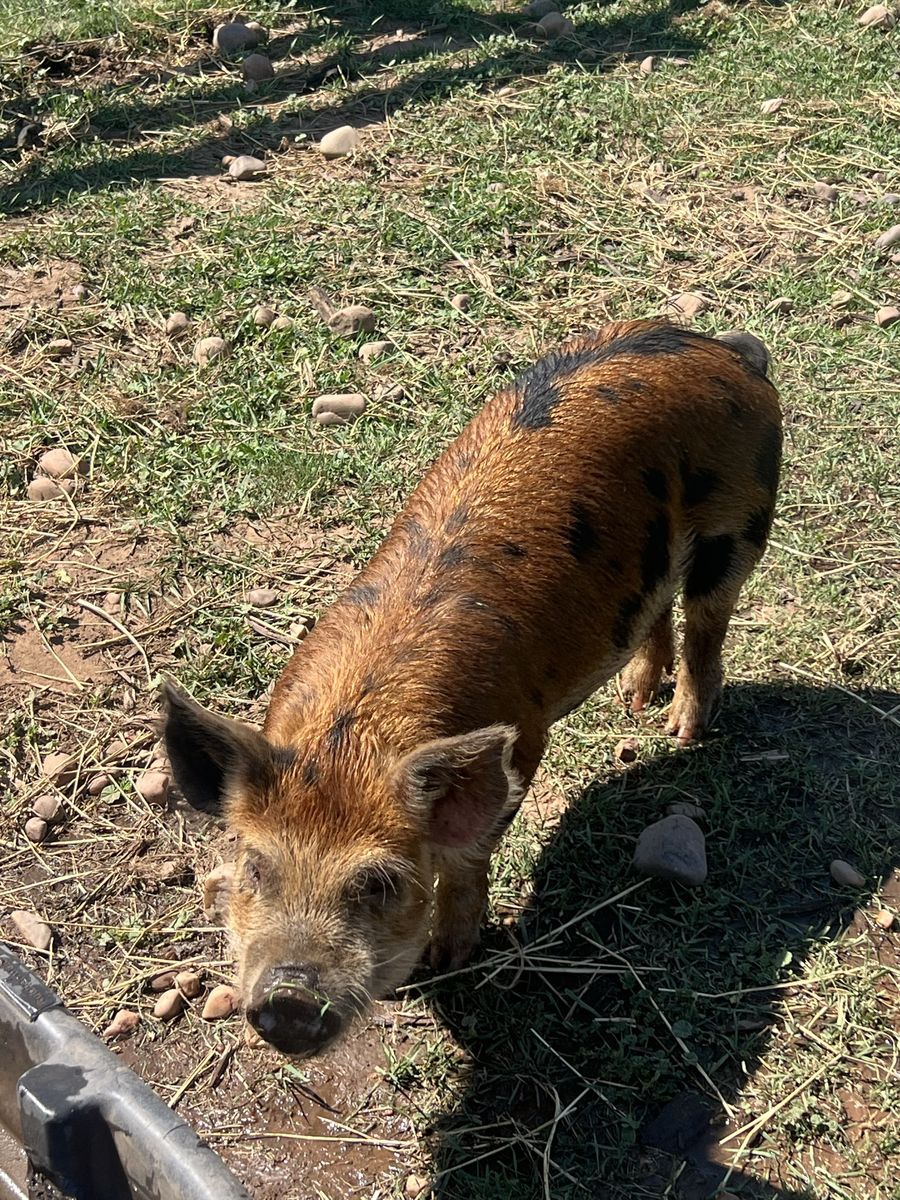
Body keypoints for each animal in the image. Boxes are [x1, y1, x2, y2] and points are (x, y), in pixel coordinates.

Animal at [162, 318, 781, 1056]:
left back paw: (681, 731)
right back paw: (635, 702)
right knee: (659, 611)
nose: (288, 999)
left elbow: (466, 859)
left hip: (740, 519)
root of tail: (722, 348)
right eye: (255, 867)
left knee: (708, 620)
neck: (354, 733)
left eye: (377, 883)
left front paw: (447, 961)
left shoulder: (524, 741)